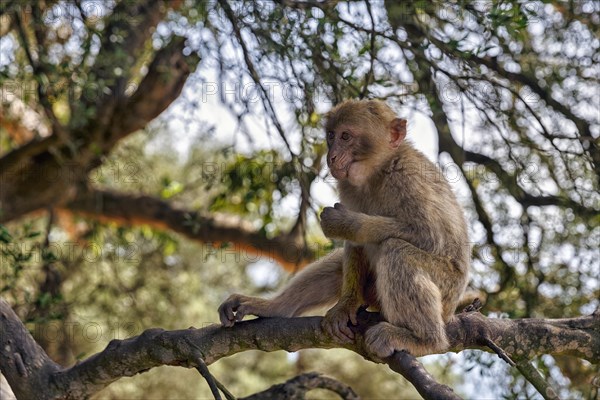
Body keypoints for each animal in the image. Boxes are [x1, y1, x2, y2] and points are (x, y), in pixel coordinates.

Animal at [218, 100, 472, 360]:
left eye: (346, 136)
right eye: (331, 135)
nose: (331, 156)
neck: (377, 172)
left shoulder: (408, 178)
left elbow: (430, 236)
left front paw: (345, 222)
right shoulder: (348, 186)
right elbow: (354, 245)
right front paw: (346, 304)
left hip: (447, 288)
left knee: (397, 250)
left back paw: (424, 340)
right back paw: (276, 307)